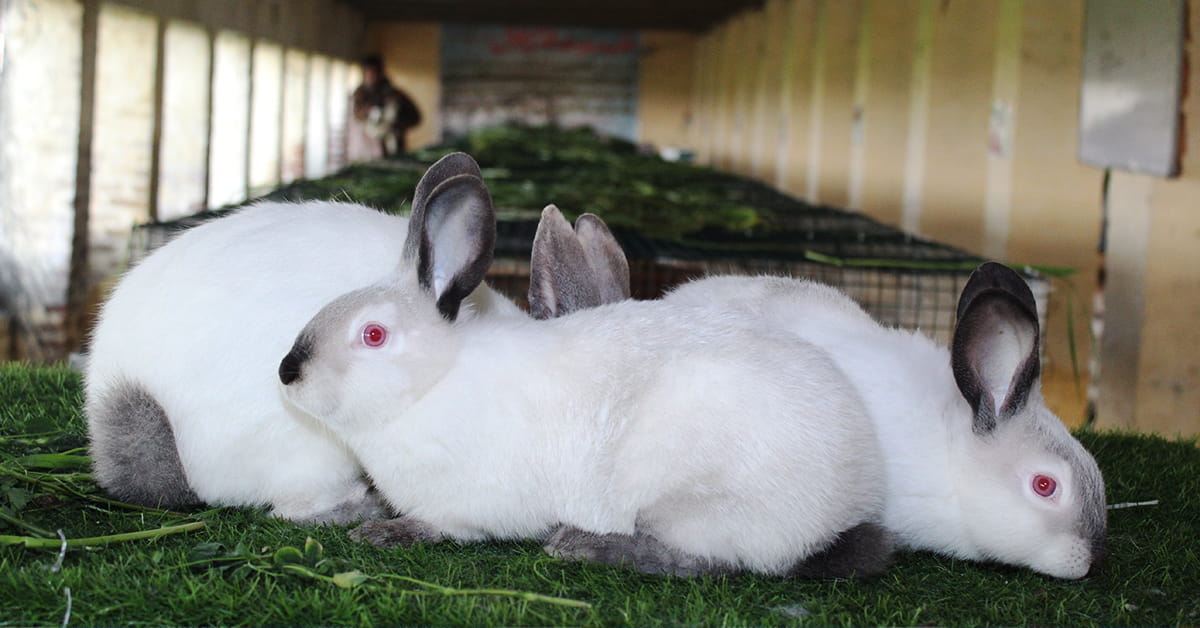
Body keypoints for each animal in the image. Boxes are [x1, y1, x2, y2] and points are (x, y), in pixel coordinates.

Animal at [276, 173, 893, 578]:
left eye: (373, 335)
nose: (287, 372)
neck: (431, 383)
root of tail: (849, 503)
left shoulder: (470, 502)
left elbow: (448, 526)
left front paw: (386, 531)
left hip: (691, 503)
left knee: (704, 562)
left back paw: (582, 545)